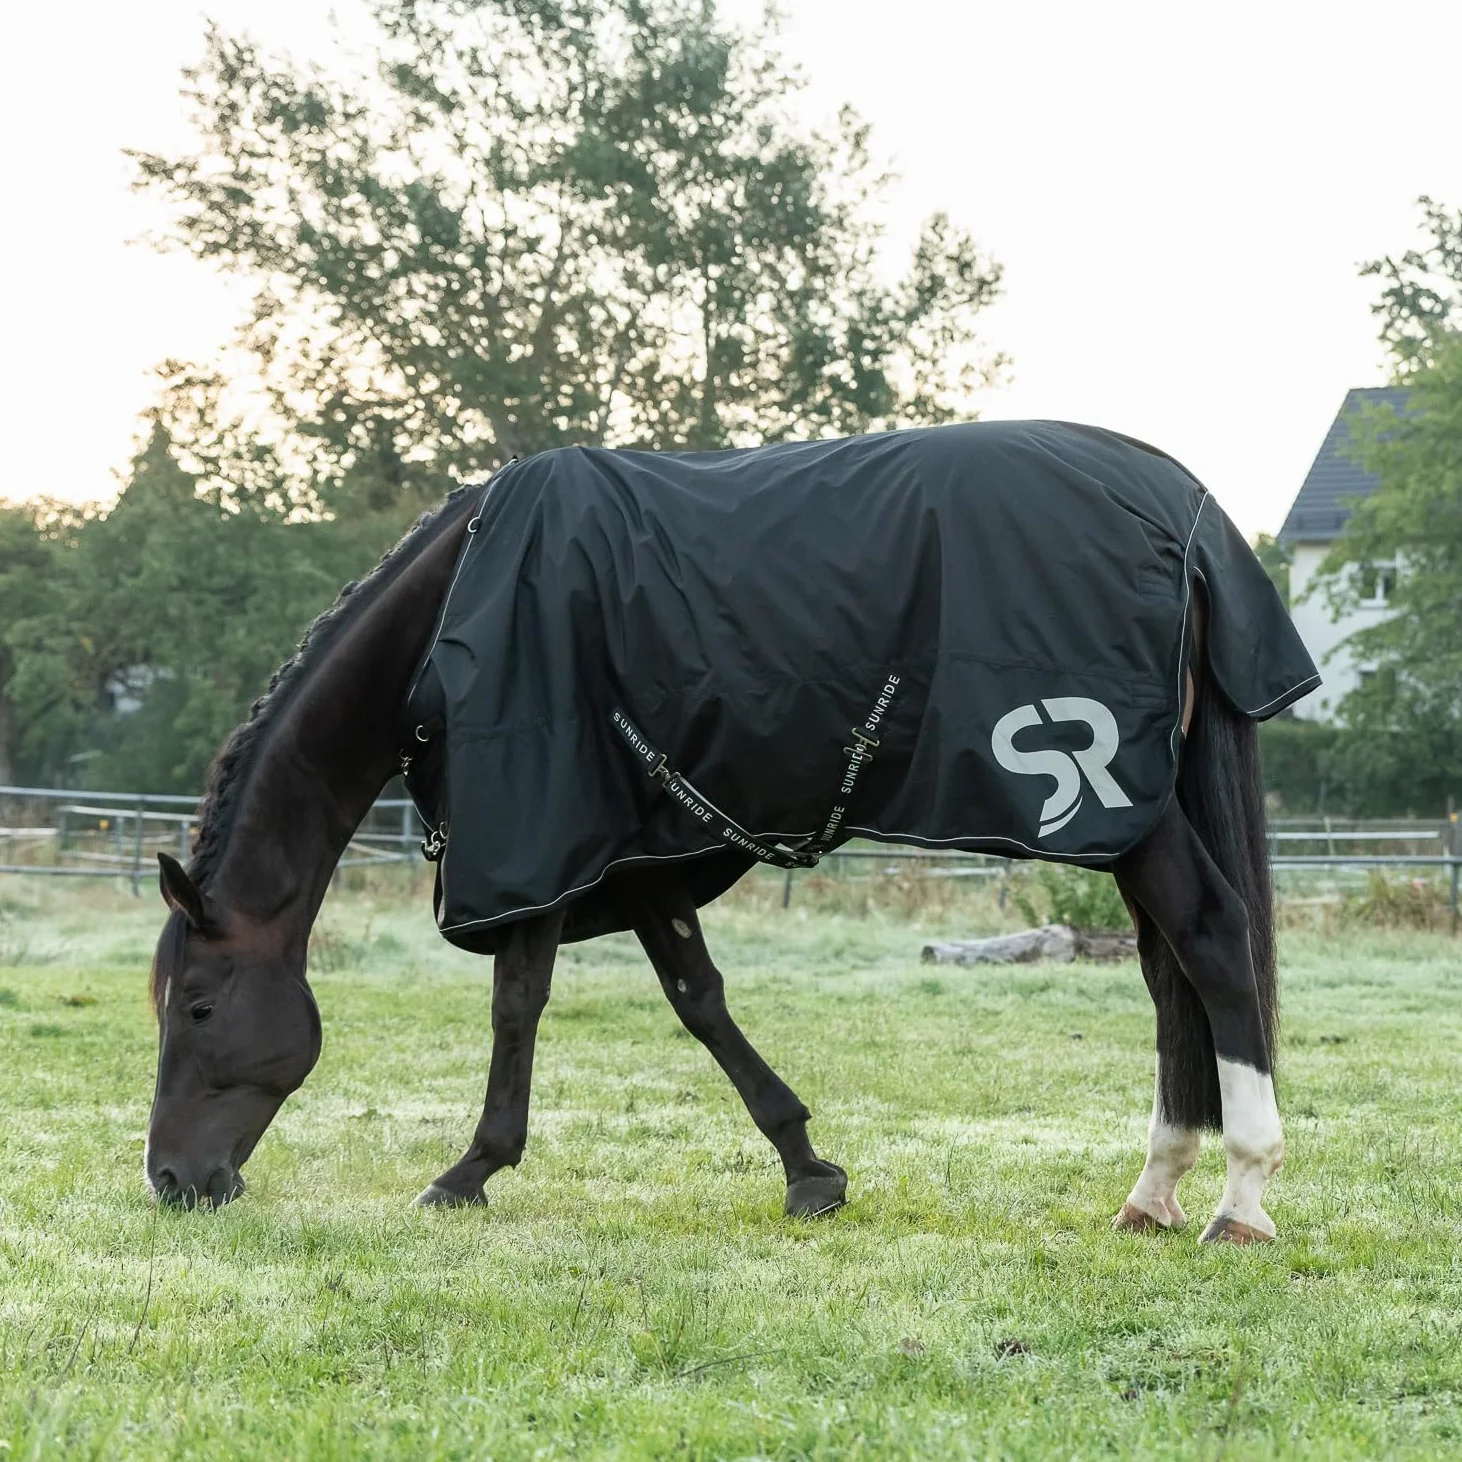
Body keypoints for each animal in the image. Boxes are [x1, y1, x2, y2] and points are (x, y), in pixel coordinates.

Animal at [143, 420, 1316, 1244]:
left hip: (1123, 805)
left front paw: (469, 1170)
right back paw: (1155, 1188)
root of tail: (1187, 517)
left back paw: (1240, 1196)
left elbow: (518, 1004)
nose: (172, 1181)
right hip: (1135, 816)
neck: (452, 612)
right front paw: (809, 1168)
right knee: (1170, 973)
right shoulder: (638, 847)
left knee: (1211, 943)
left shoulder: (545, 833)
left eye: (198, 1006)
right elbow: (697, 1000)